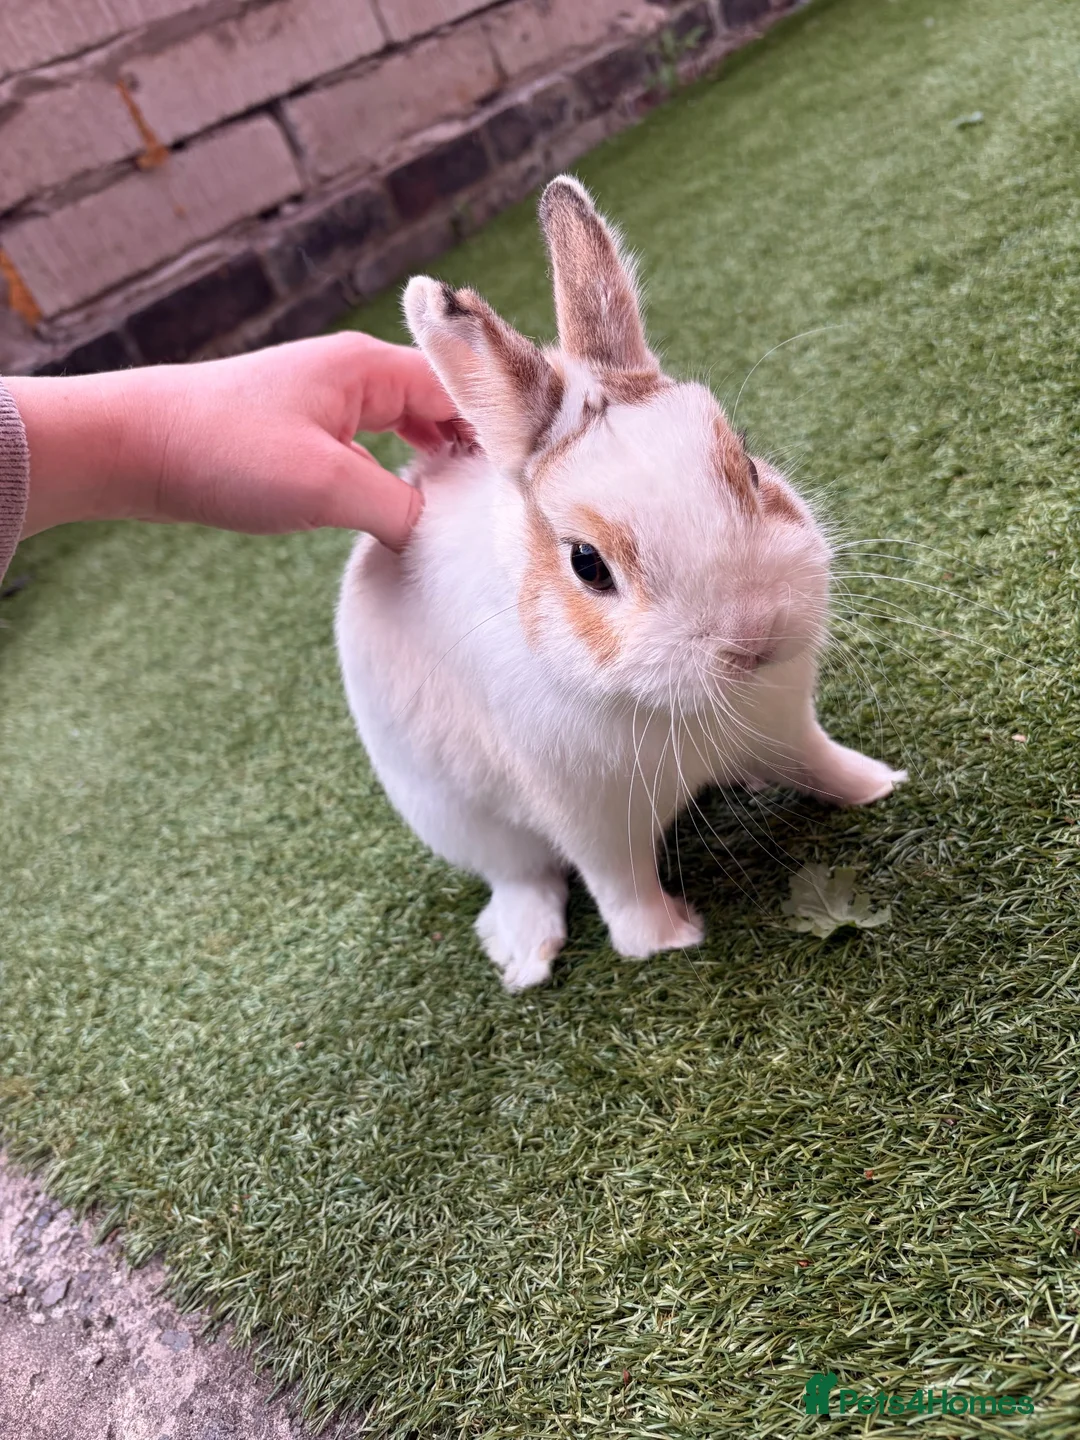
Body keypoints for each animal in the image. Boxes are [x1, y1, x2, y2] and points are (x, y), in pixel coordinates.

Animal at [336, 176, 906, 992]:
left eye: (749, 464)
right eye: (586, 564)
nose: (753, 633)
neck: (676, 705)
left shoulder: (785, 724)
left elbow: (819, 761)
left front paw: (877, 785)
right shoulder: (591, 816)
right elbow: (620, 882)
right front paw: (664, 942)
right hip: (456, 817)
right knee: (522, 876)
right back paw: (525, 956)